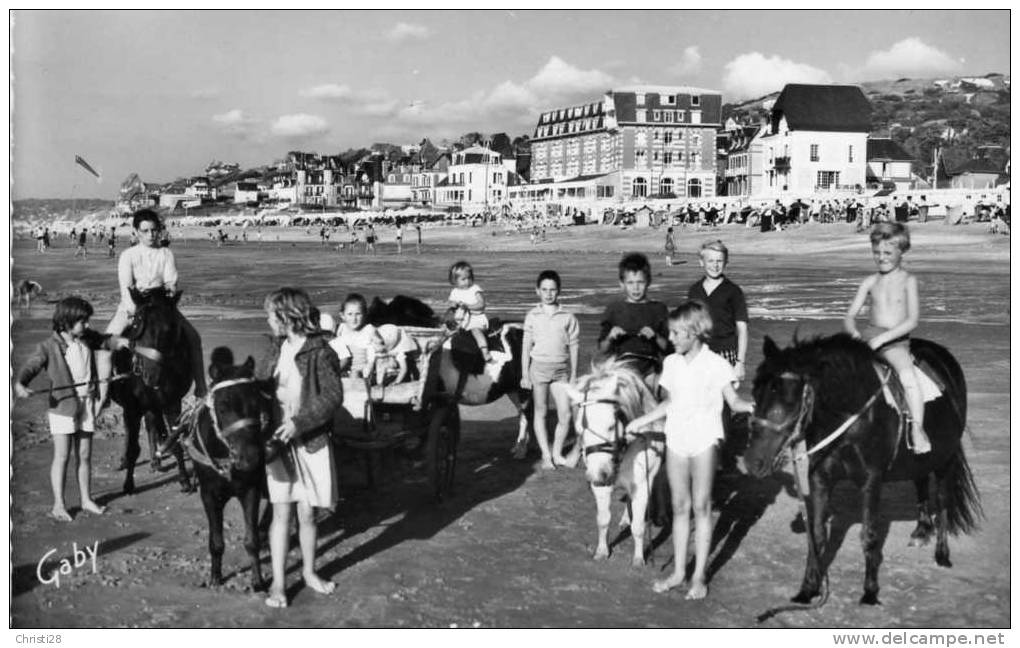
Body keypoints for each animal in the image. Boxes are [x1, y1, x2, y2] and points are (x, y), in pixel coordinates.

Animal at [113, 285, 196, 493]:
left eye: (170, 328)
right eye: (136, 324)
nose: (152, 376)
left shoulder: (172, 403)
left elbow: (175, 441)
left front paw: (184, 480)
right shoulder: (132, 407)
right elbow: (133, 447)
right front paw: (128, 484)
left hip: (152, 406)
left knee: (151, 426)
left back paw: (155, 461)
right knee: (131, 432)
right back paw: (126, 461)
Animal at [181, 349, 273, 591]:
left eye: (257, 403)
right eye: (222, 406)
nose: (250, 458)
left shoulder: (250, 489)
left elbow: (251, 541)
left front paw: (257, 580)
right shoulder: (209, 495)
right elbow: (216, 541)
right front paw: (215, 576)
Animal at [567, 359, 669, 567]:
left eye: (610, 426)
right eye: (579, 429)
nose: (597, 475)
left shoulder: (642, 485)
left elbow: (638, 526)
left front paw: (638, 559)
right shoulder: (601, 485)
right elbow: (603, 520)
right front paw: (602, 551)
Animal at [746, 334, 983, 612]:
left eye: (786, 403)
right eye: (755, 395)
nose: (752, 462)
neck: (850, 416)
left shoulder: (871, 481)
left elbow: (869, 536)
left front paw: (870, 593)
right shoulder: (819, 478)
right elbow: (817, 536)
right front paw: (808, 590)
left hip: (945, 460)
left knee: (944, 503)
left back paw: (942, 555)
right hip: (921, 460)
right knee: (921, 482)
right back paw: (921, 531)